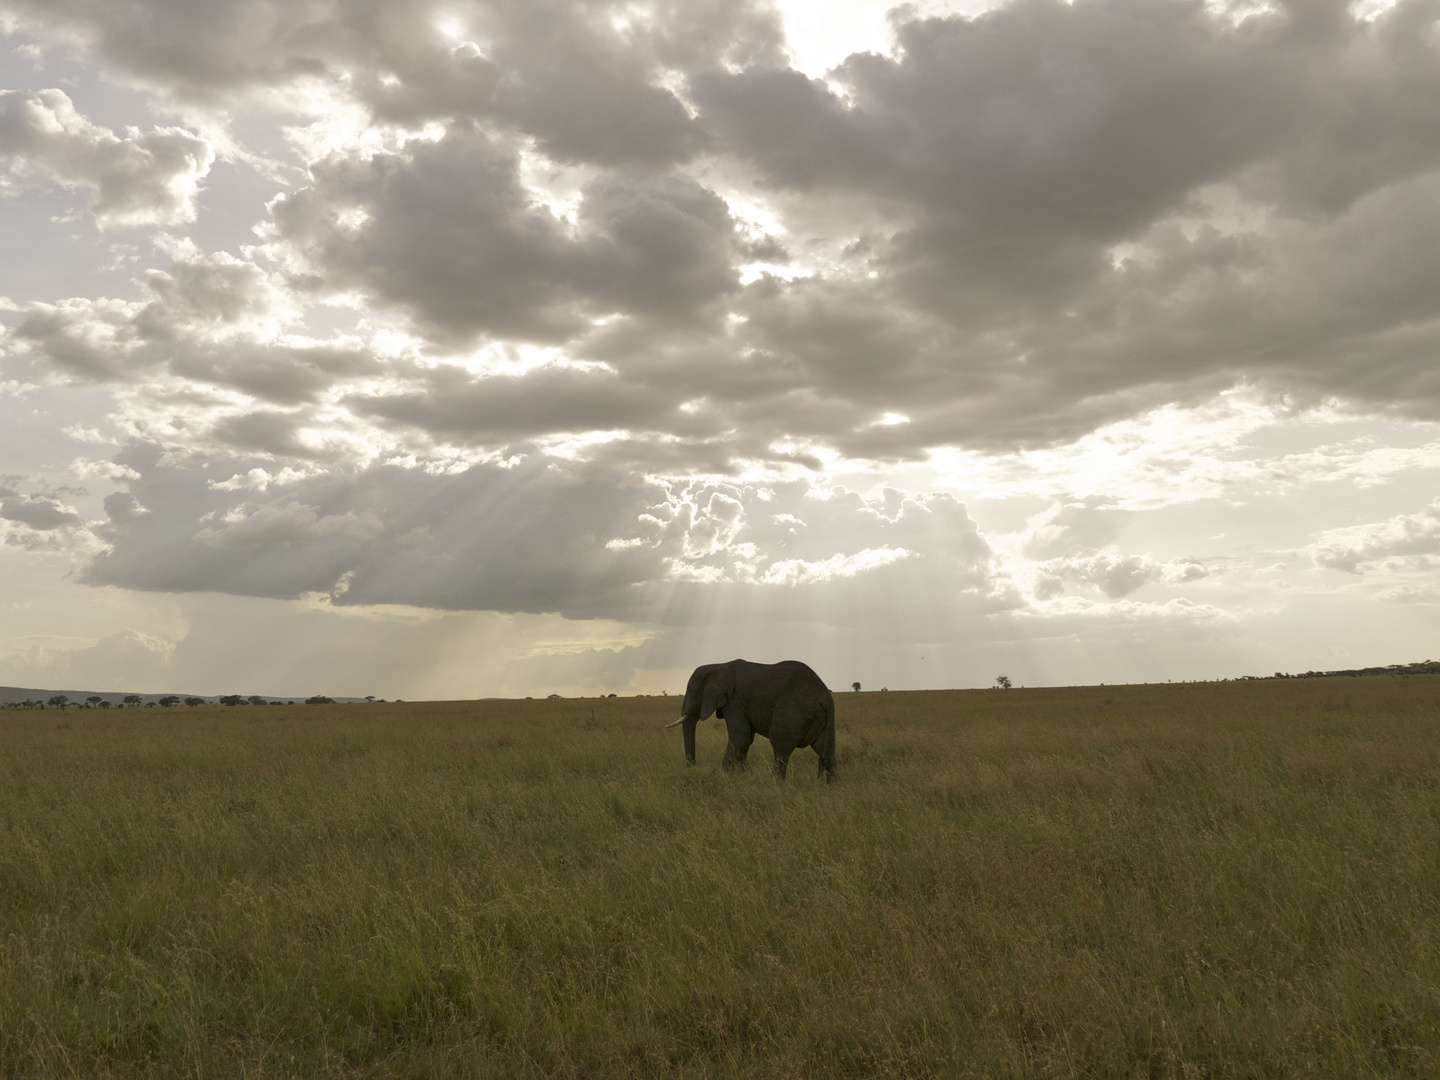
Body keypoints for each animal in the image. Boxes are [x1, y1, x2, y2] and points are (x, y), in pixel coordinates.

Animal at [659, 659, 835, 789]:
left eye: (691, 691)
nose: (693, 769)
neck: (719, 665)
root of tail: (825, 697)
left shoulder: (734, 701)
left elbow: (740, 738)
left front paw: (723, 779)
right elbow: (745, 741)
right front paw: (745, 775)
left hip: (793, 712)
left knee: (780, 747)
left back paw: (774, 786)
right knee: (826, 751)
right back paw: (833, 789)